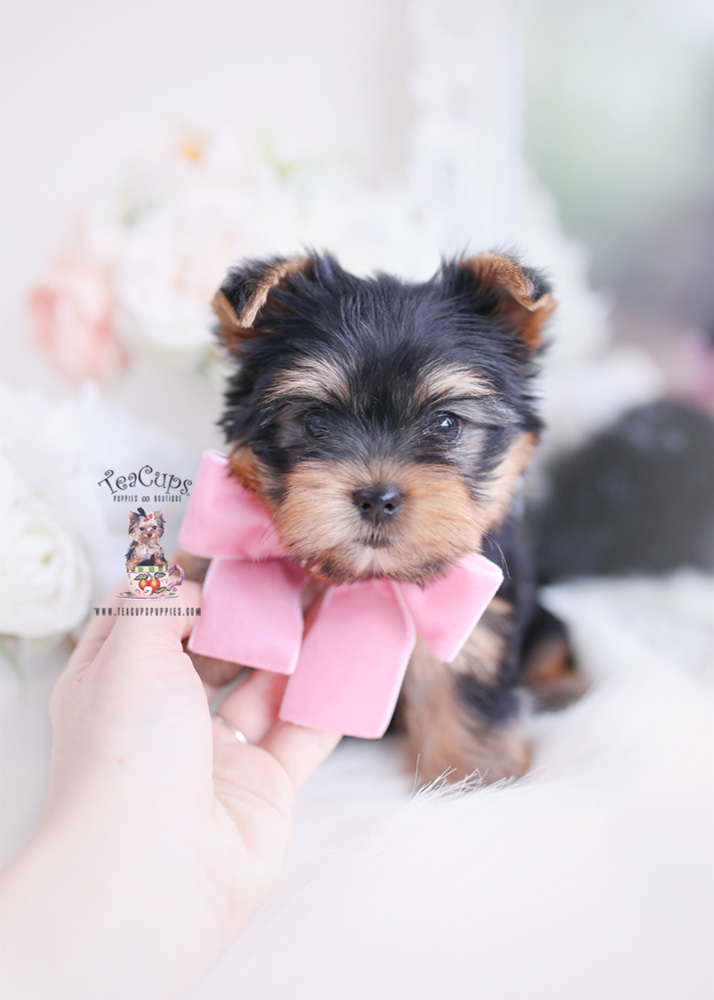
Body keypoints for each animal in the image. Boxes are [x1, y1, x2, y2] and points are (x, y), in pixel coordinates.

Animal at [188, 250, 580, 780]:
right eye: (315, 421)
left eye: (446, 424)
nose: (378, 497)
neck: (370, 577)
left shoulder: (478, 628)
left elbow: (467, 701)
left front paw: (476, 781)